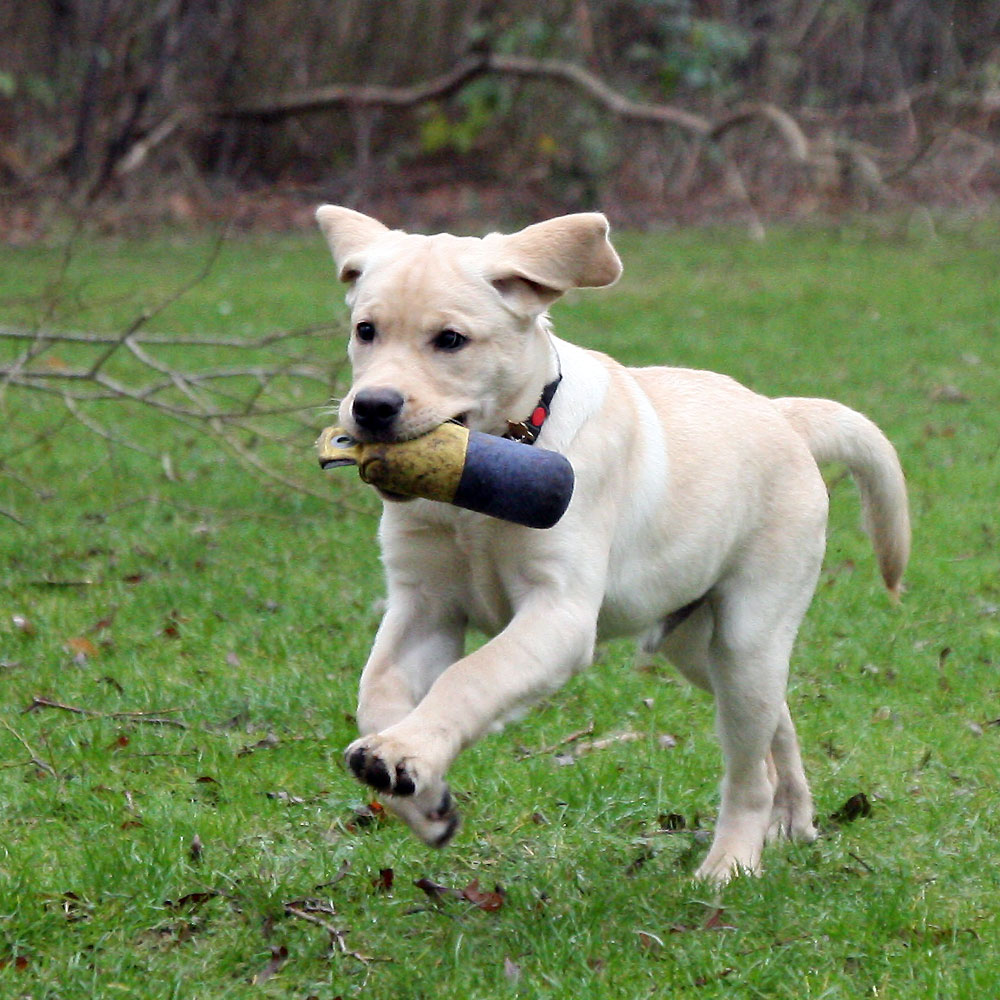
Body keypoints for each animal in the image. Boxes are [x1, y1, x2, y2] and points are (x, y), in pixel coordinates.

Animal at [316, 205, 912, 884]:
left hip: (748, 636)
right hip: (695, 646)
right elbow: (376, 693)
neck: (484, 482)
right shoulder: (424, 604)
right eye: (365, 331)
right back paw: (793, 818)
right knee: (775, 725)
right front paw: (419, 790)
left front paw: (408, 752)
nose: (371, 406)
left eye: (450, 340)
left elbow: (472, 676)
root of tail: (782, 415)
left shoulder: (559, 614)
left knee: (749, 766)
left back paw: (731, 863)